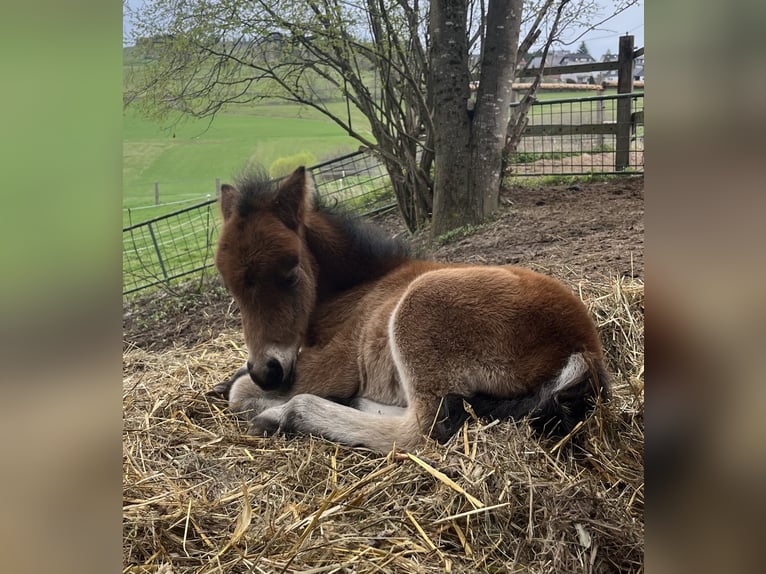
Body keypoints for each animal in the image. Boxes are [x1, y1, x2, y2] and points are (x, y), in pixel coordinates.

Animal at [212, 166, 609, 453]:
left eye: (291, 273)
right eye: (229, 287)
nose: (267, 372)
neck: (360, 288)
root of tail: (584, 347)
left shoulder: (337, 364)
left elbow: (239, 393)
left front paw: (256, 396)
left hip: (419, 306)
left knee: (420, 430)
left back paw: (285, 415)